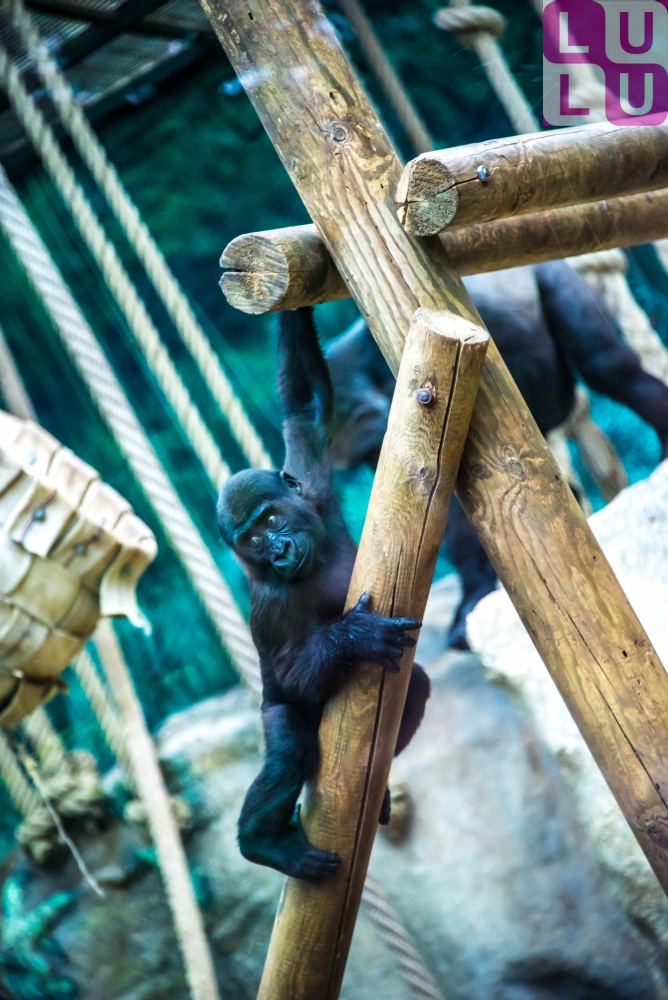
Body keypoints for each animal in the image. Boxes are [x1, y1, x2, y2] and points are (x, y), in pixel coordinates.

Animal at [217, 307, 429, 882]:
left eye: (269, 519)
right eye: (251, 540)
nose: (277, 549)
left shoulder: (311, 482)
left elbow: (306, 405)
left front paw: (293, 304)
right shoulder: (270, 604)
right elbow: (293, 671)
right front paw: (354, 636)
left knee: (417, 687)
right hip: (275, 714)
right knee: (288, 750)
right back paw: (262, 844)